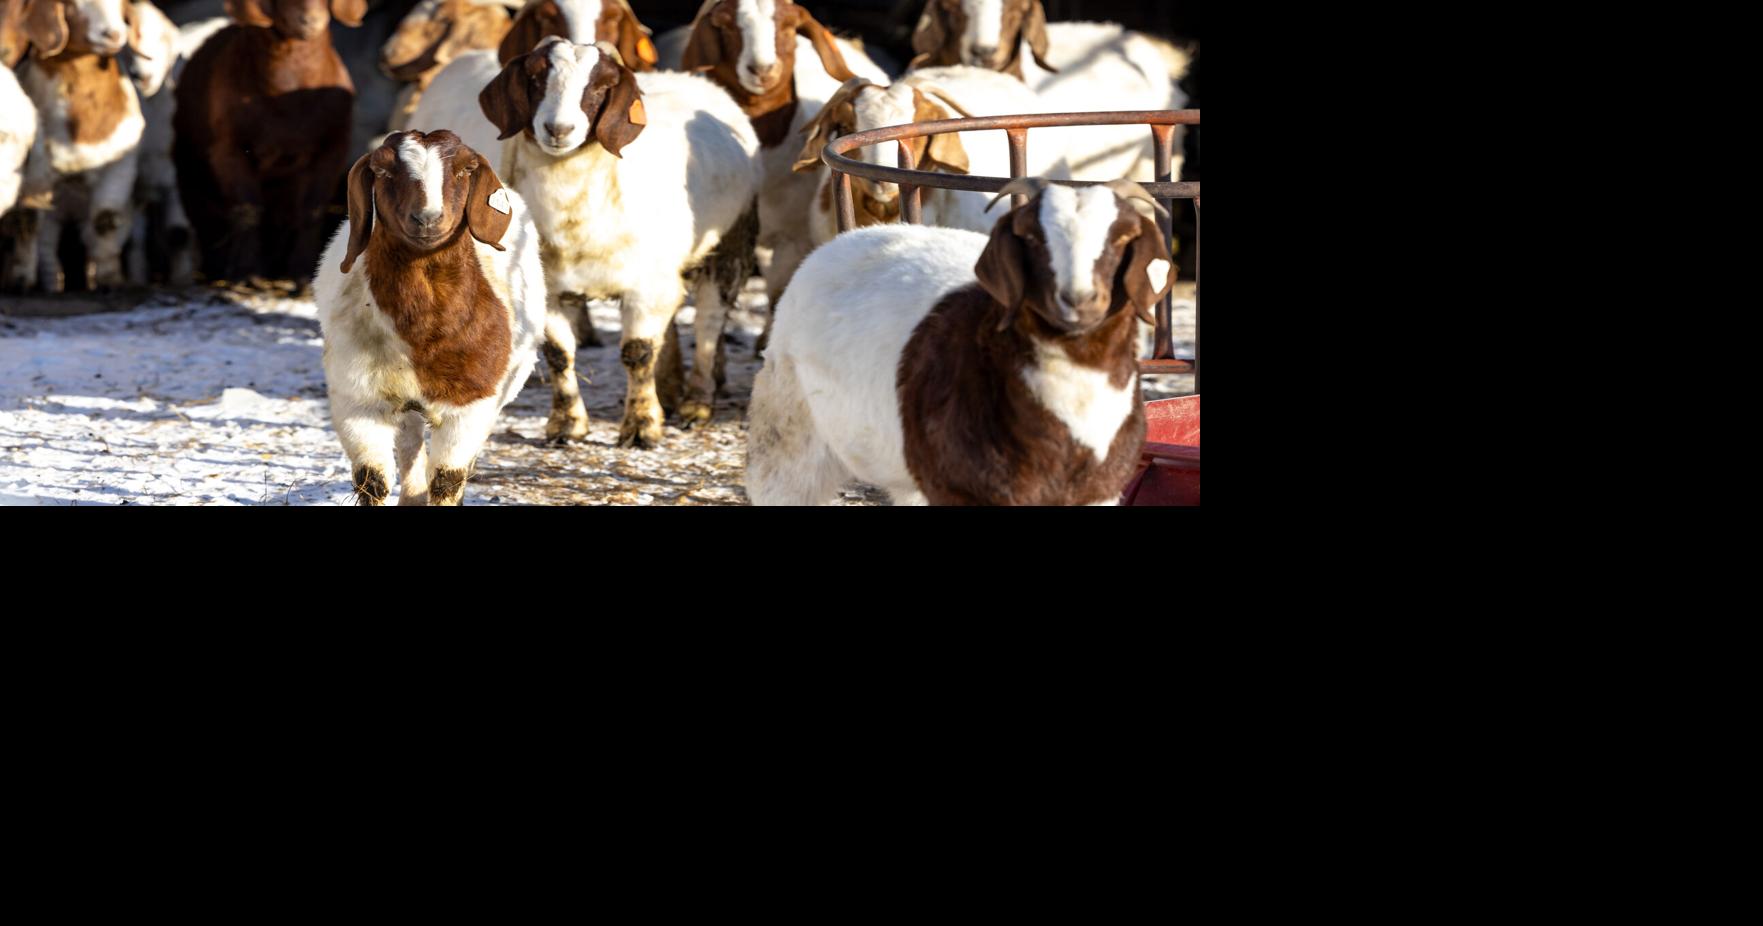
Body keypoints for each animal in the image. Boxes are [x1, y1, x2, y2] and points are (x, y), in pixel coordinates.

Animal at [8, 0, 151, 292]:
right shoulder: (34, 173)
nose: (113, 34)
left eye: (121, 5)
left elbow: (105, 219)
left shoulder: (120, 165)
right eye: (71, 4)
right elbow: (27, 220)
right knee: (47, 245)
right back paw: (51, 285)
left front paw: (111, 280)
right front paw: (21, 281)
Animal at [173, 0, 365, 289]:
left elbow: (312, 209)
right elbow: (248, 209)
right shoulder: (228, 150)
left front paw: (304, 274)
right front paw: (245, 275)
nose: (309, 21)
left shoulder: (333, 148)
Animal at [313, 129, 547, 506]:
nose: (427, 218)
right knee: (409, 443)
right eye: (381, 170)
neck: (425, 334)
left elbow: (448, 480)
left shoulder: (472, 404)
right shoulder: (357, 400)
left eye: (466, 169)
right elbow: (372, 480)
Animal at [480, 37, 762, 447]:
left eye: (600, 87)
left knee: (708, 324)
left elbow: (637, 353)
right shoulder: (549, 290)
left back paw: (696, 403)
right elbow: (559, 355)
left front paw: (641, 427)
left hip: (729, 245)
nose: (558, 129)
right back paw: (671, 389)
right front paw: (567, 425)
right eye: (535, 78)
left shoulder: (645, 288)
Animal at [746, 179, 1174, 506]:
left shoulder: (1097, 491)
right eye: (1031, 237)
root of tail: (845, 238)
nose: (1078, 299)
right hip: (786, 432)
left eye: (1123, 237)